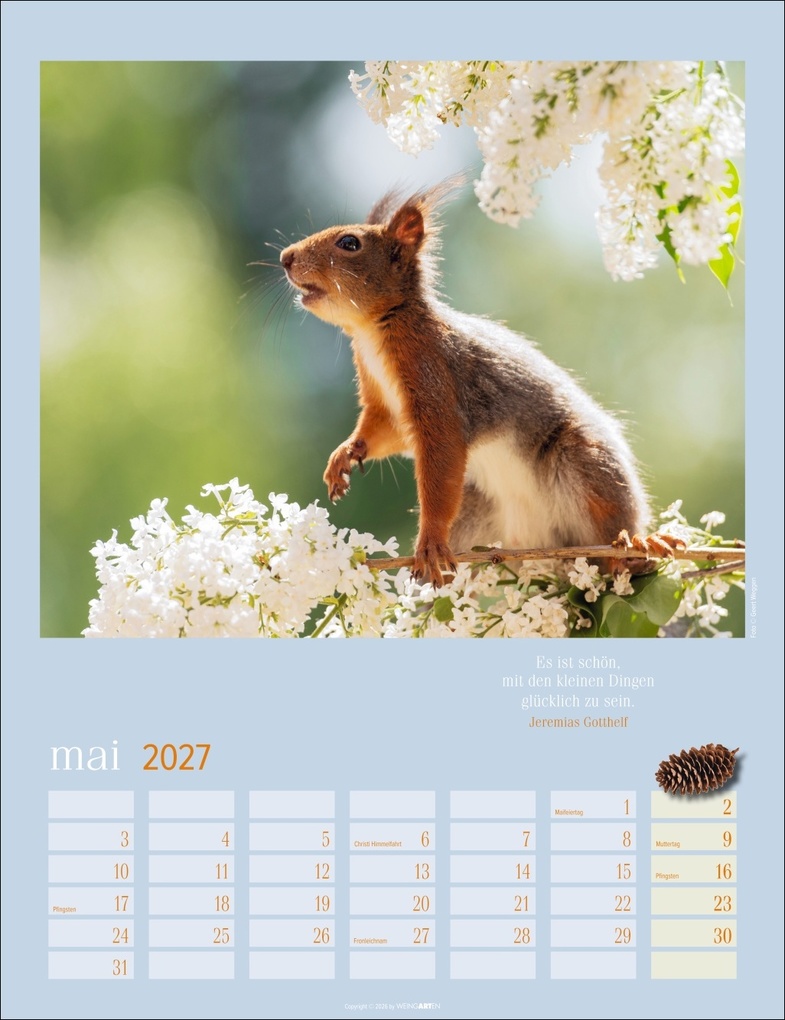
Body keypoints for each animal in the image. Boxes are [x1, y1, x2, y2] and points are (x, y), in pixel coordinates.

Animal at [280, 179, 656, 586]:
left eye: (349, 243)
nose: (285, 257)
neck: (374, 332)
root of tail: (540, 544)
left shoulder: (436, 381)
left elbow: (441, 462)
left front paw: (429, 542)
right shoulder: (385, 404)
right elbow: (381, 431)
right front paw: (346, 454)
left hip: (585, 465)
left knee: (612, 518)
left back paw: (629, 554)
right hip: (476, 512)